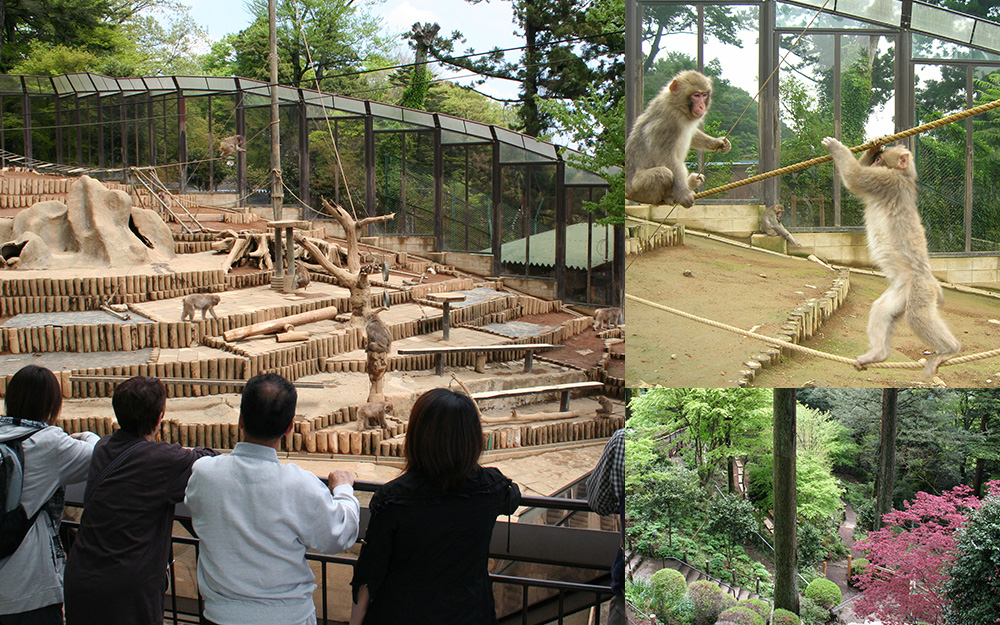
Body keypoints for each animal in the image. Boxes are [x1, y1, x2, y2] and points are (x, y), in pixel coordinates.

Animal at [820, 137, 960, 378]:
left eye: (880, 161)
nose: (875, 160)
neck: (903, 176)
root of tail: (932, 281)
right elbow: (857, 174)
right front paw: (872, 147)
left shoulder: (887, 181)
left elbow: (855, 177)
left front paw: (835, 146)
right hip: (901, 293)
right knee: (881, 309)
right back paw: (878, 354)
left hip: (920, 289)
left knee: (917, 316)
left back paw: (949, 350)